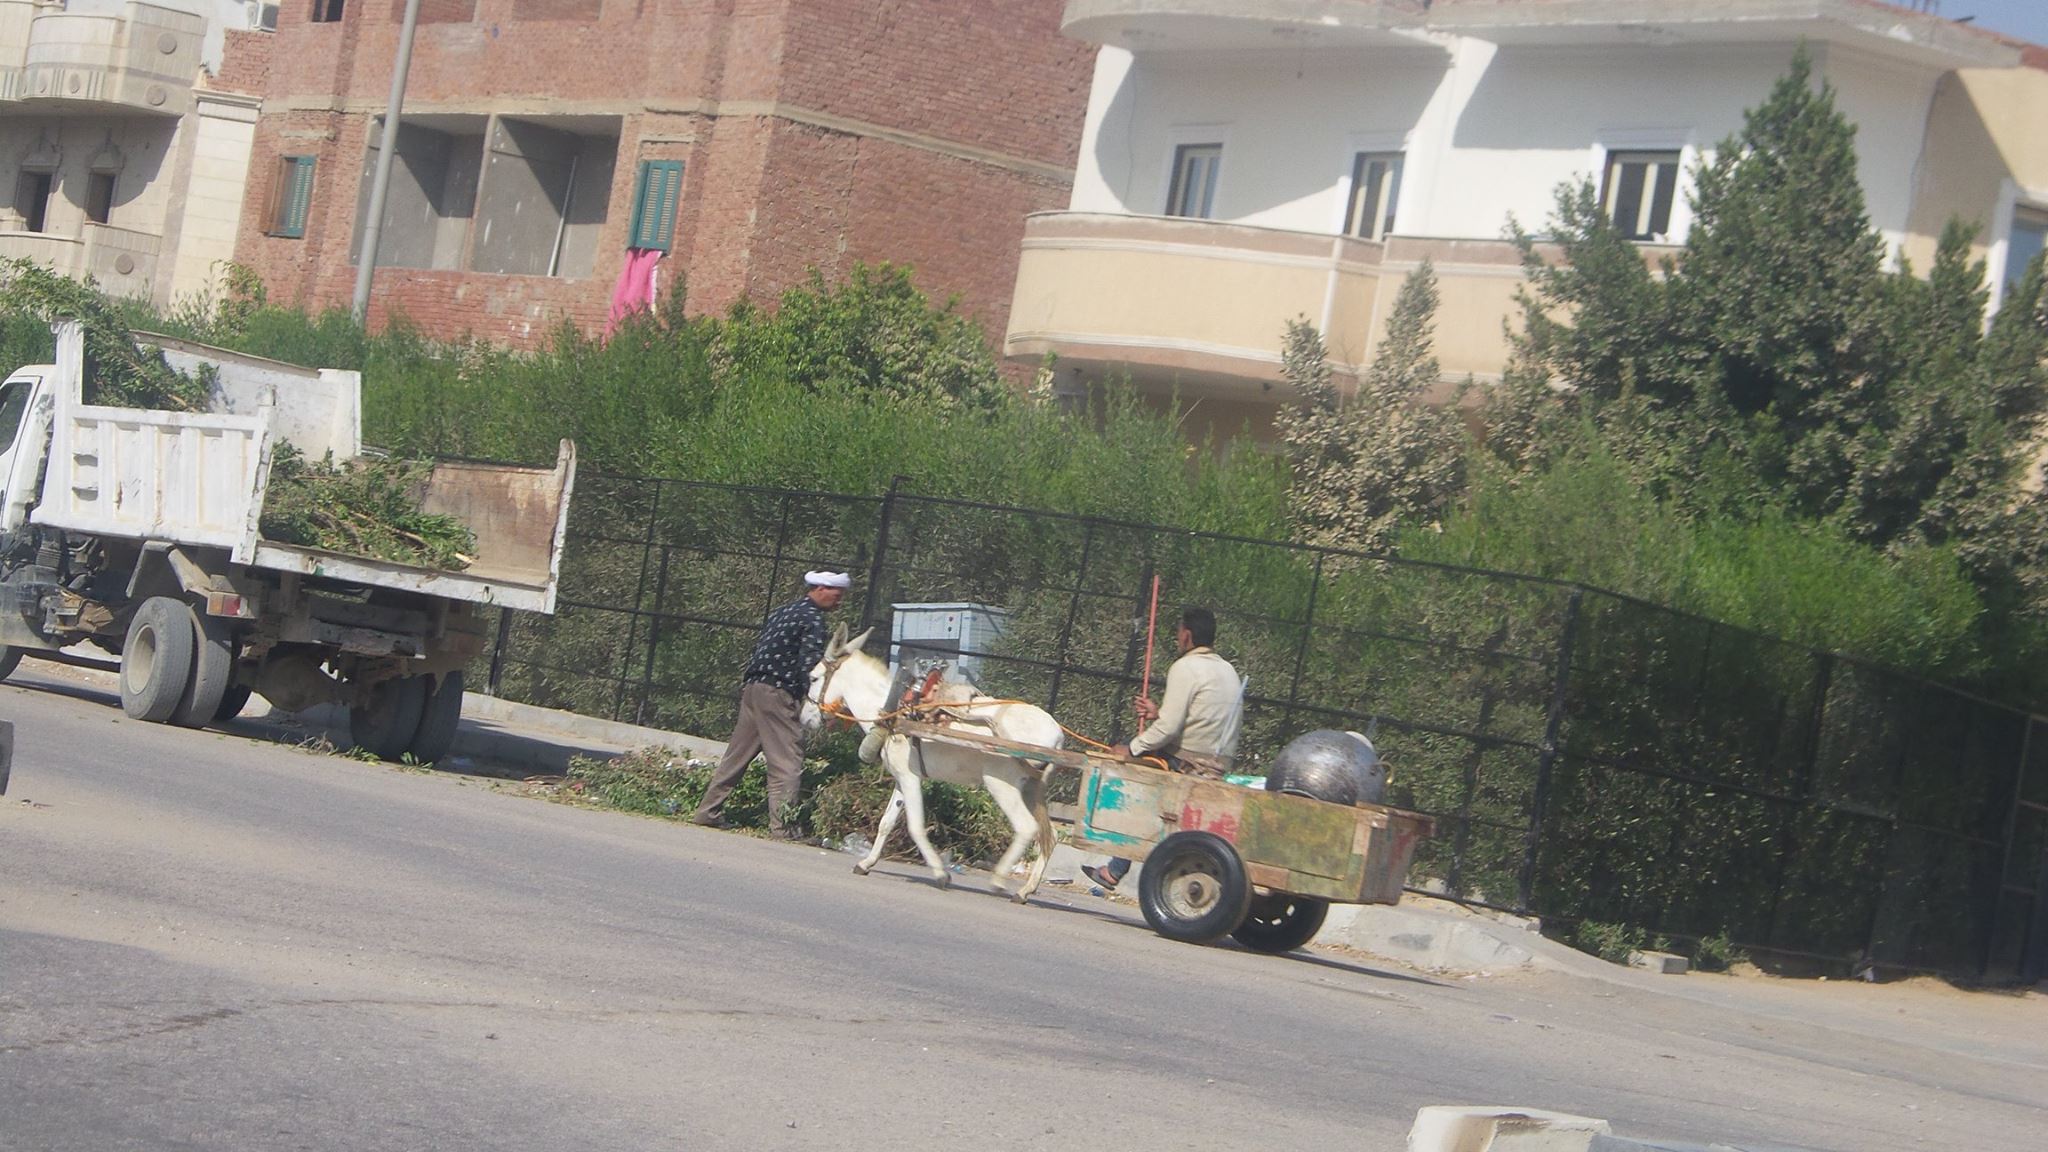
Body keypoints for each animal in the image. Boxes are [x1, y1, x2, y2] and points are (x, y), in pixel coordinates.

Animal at [803, 624, 1062, 902]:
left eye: (814, 678)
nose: (804, 719)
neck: (893, 710)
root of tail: (1057, 736)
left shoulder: (910, 778)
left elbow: (915, 826)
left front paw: (941, 874)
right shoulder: (901, 779)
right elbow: (886, 823)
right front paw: (866, 864)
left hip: (1002, 784)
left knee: (1026, 828)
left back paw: (999, 880)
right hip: (1032, 788)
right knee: (1050, 835)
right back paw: (1025, 890)